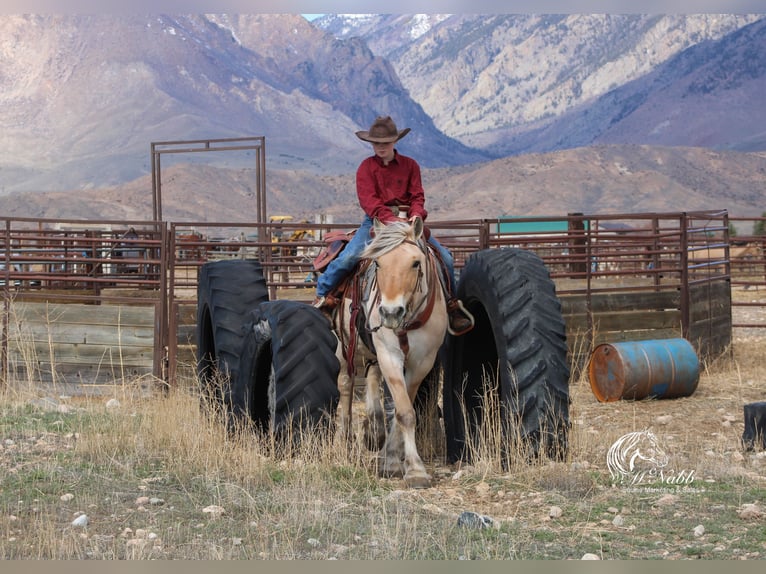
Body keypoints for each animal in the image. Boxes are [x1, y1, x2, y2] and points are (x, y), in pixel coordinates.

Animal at [332, 218, 450, 488]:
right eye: (377, 263)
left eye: (416, 263)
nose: (390, 313)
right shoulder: (389, 354)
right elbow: (405, 411)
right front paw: (415, 470)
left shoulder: (421, 362)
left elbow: (400, 410)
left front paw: (393, 460)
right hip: (345, 346)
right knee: (345, 384)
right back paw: (346, 441)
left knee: (372, 379)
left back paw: (374, 431)